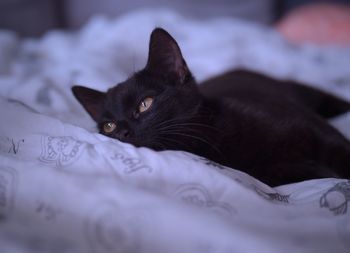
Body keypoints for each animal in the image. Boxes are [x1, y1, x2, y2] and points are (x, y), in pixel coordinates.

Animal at [72, 28, 350, 186]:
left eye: (145, 104)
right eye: (108, 126)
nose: (121, 133)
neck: (215, 137)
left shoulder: (314, 128)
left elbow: (339, 150)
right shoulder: (268, 175)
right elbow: (305, 171)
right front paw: (323, 171)